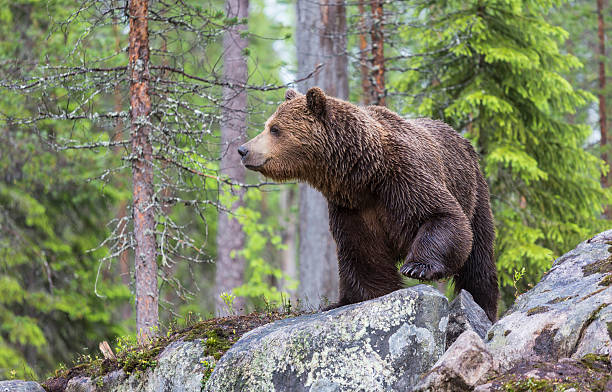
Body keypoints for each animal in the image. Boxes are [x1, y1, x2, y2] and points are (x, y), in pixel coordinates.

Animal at [237, 88, 500, 322]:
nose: (243, 150)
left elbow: (441, 214)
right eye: (268, 125)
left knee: (479, 259)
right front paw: (362, 296)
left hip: (474, 192)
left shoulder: (403, 178)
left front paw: (416, 268)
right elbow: (362, 252)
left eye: (275, 129)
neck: (365, 173)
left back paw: (483, 307)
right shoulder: (352, 207)